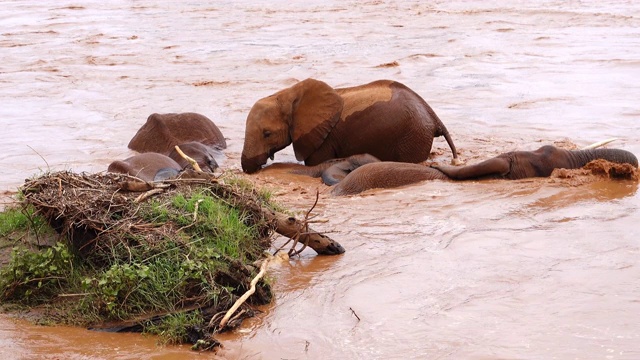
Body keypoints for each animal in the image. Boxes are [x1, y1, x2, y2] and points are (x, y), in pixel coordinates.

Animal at [241, 79, 460, 174]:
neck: (287, 94)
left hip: (412, 136)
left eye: (267, 133)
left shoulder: (323, 139)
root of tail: (433, 115)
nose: (255, 168)